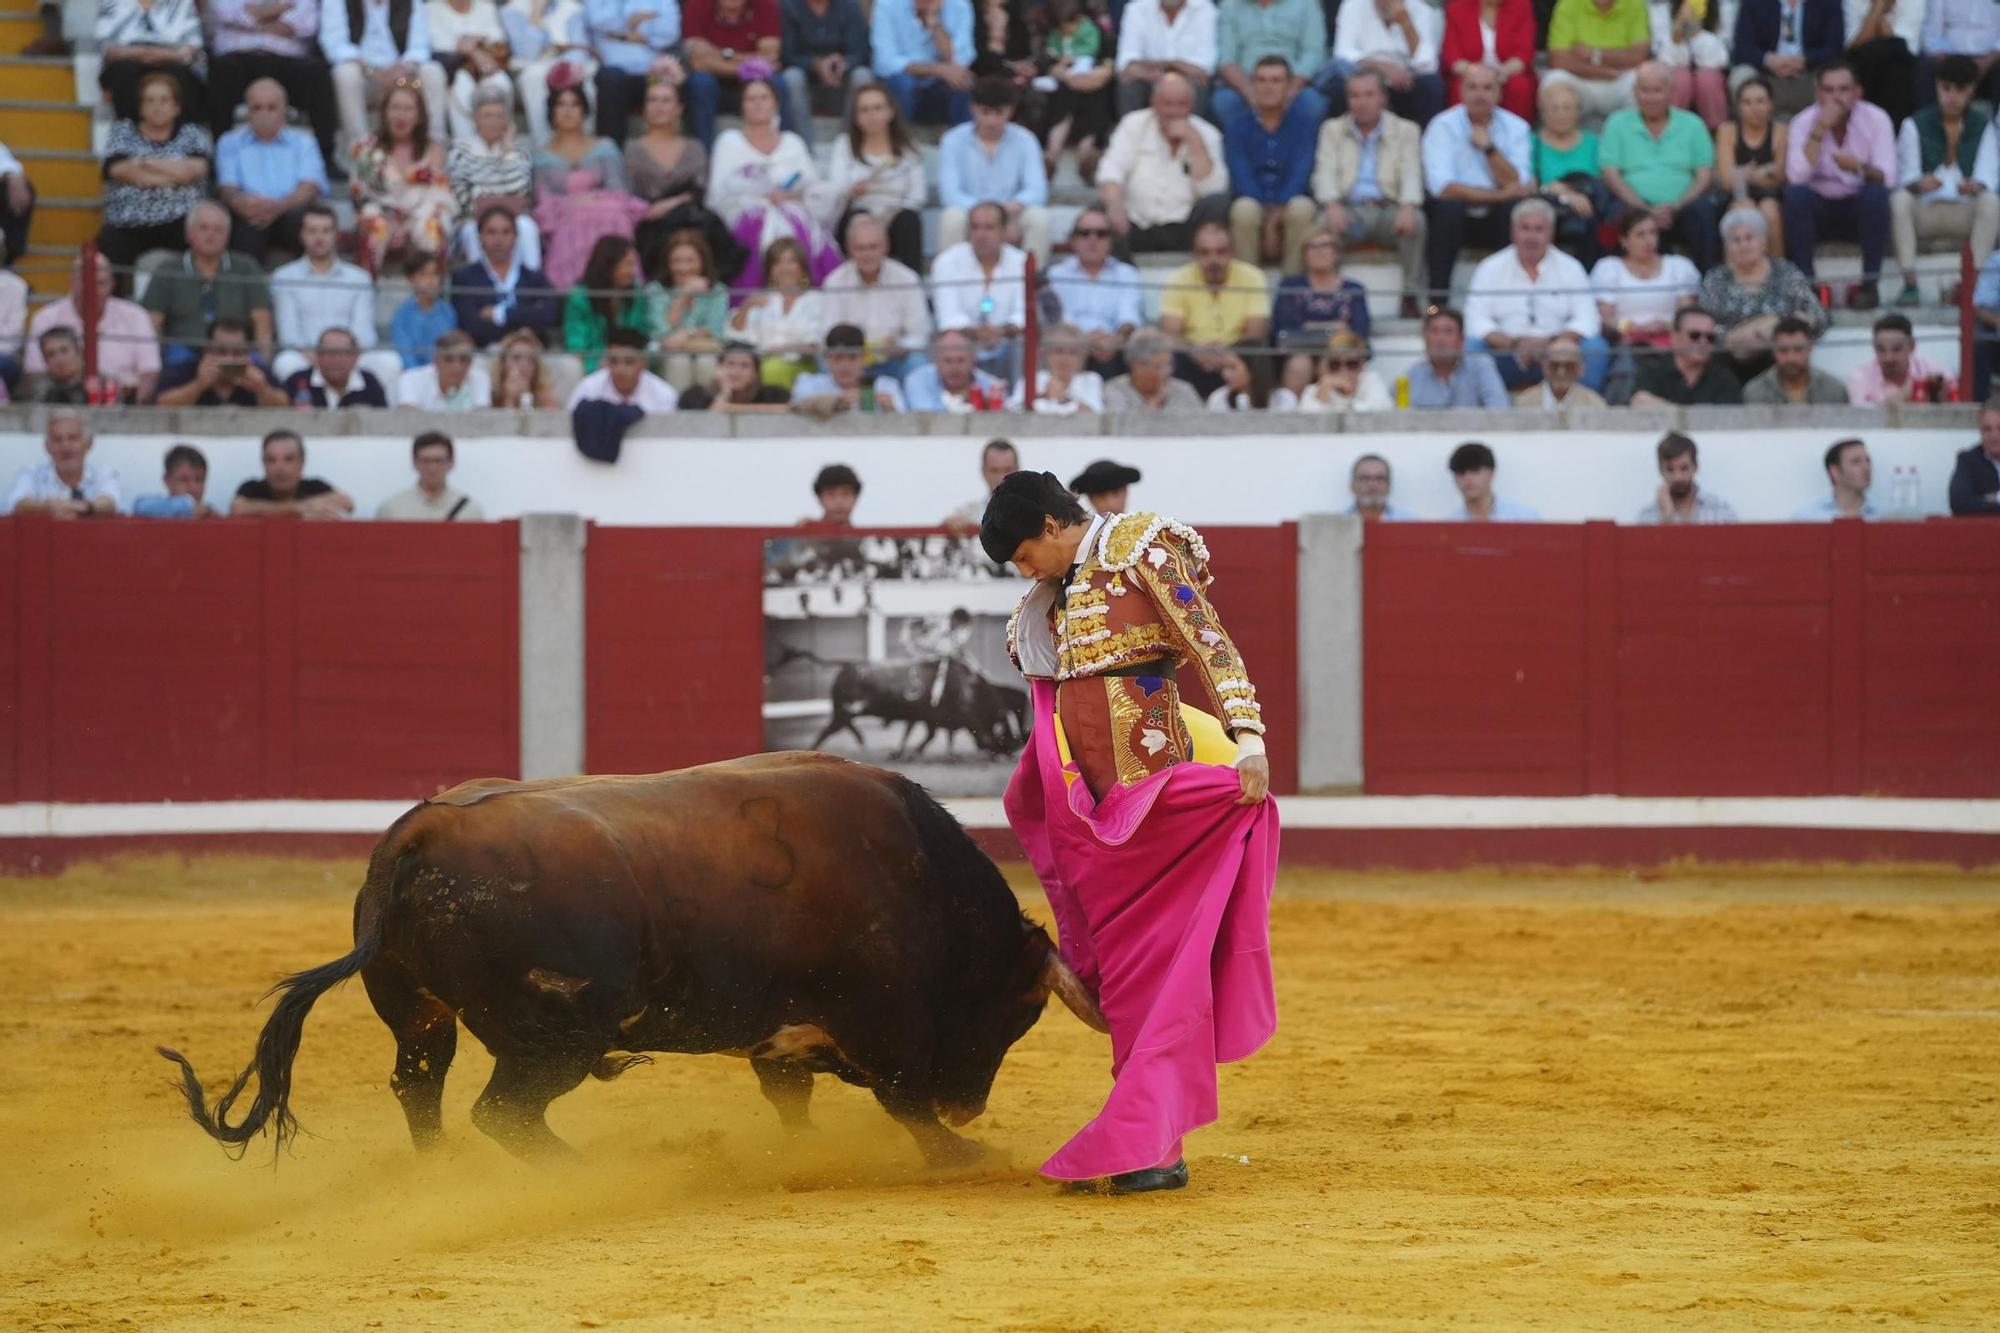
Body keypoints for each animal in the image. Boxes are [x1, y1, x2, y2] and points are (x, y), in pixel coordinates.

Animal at [156, 752, 1112, 1168]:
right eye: (1019, 1012)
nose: (969, 1102)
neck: (917, 878)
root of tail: (419, 833)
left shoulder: (783, 1033)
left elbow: (791, 1094)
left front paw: (806, 1148)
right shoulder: (883, 1020)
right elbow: (901, 1095)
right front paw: (960, 1151)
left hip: (422, 1014)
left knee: (420, 1086)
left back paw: (447, 1171)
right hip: (555, 1036)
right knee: (502, 1111)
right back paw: (581, 1171)